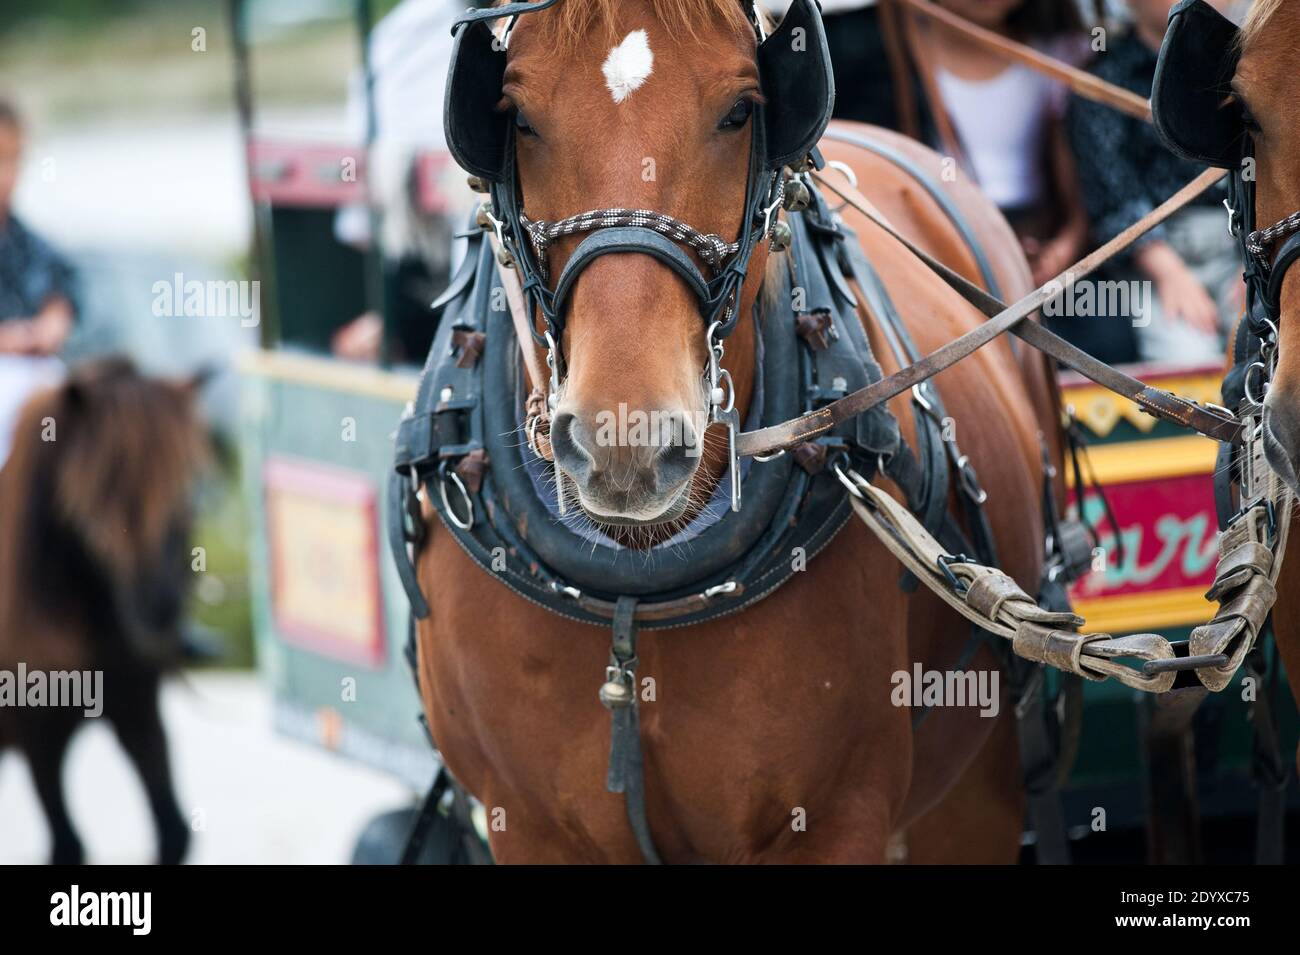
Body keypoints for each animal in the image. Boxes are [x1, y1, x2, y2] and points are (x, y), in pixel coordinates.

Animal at [0, 356, 210, 863]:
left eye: (187, 487)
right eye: (100, 490)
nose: (159, 611)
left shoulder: (137, 706)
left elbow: (174, 831)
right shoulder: (36, 736)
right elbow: (67, 846)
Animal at [412, 0, 1061, 863]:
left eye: (739, 110)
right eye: (517, 116)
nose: (625, 441)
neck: (640, 584)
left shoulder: (835, 821)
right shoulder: (529, 826)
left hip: (975, 795)